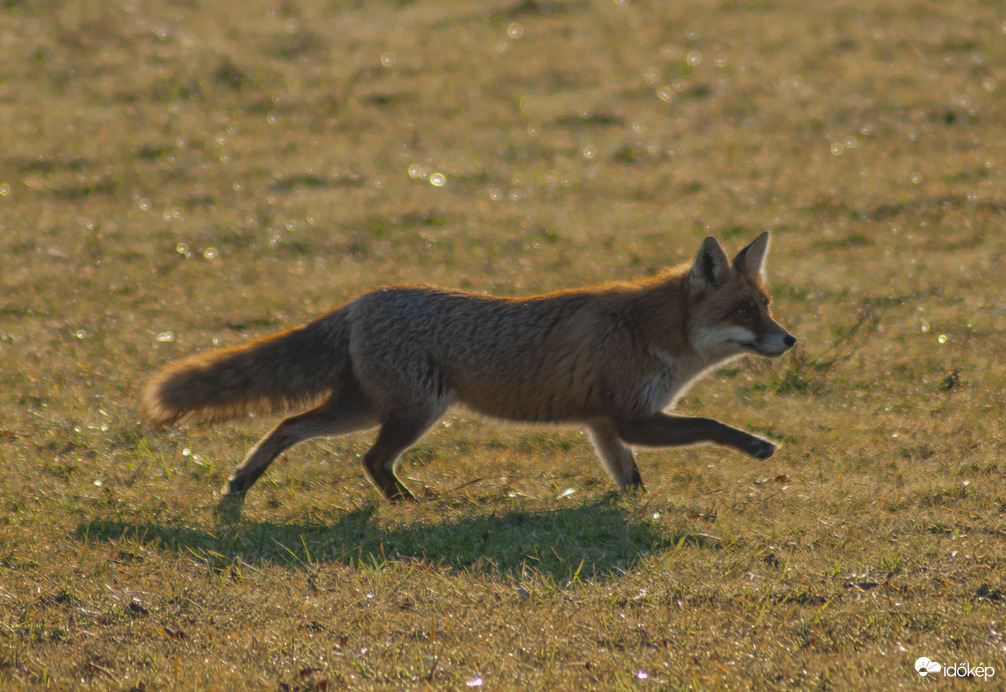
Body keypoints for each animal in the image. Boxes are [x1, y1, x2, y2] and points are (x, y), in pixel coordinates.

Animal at [139, 232, 792, 502]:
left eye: (766, 305)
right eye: (744, 312)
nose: (790, 339)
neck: (653, 334)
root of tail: (362, 299)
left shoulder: (604, 424)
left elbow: (629, 478)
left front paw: (631, 508)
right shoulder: (634, 416)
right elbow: (711, 425)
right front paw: (758, 445)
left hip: (365, 407)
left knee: (286, 426)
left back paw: (242, 482)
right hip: (411, 411)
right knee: (368, 458)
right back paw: (408, 504)